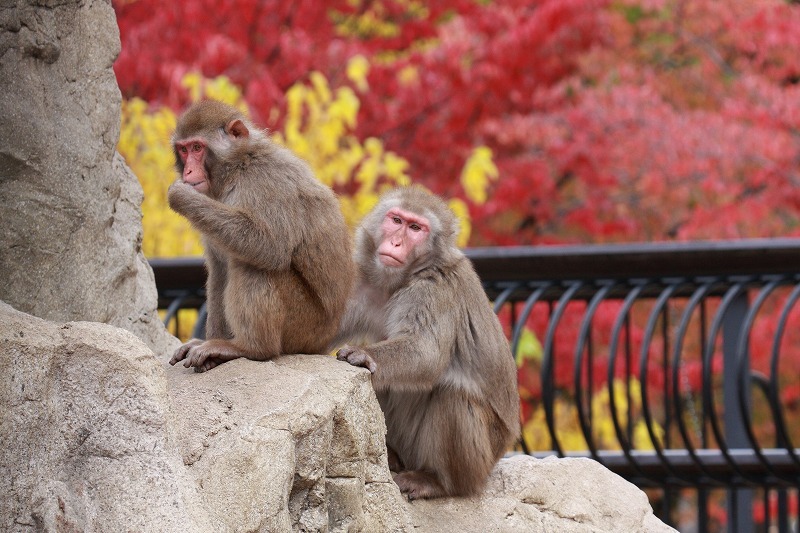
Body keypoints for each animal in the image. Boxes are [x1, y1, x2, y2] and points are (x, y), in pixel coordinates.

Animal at [166, 101, 354, 374]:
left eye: (197, 148)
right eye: (183, 150)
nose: (189, 170)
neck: (237, 167)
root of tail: (323, 343)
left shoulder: (264, 182)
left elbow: (270, 246)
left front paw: (180, 196)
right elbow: (219, 269)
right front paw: (207, 340)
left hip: (304, 326)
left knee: (254, 265)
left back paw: (250, 348)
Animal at [330, 186, 520, 498]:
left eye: (416, 228)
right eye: (396, 220)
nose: (395, 242)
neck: (399, 281)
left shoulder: (434, 289)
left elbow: (425, 354)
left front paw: (364, 355)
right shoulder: (360, 282)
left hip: (482, 459)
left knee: (452, 395)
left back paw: (437, 482)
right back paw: (391, 457)